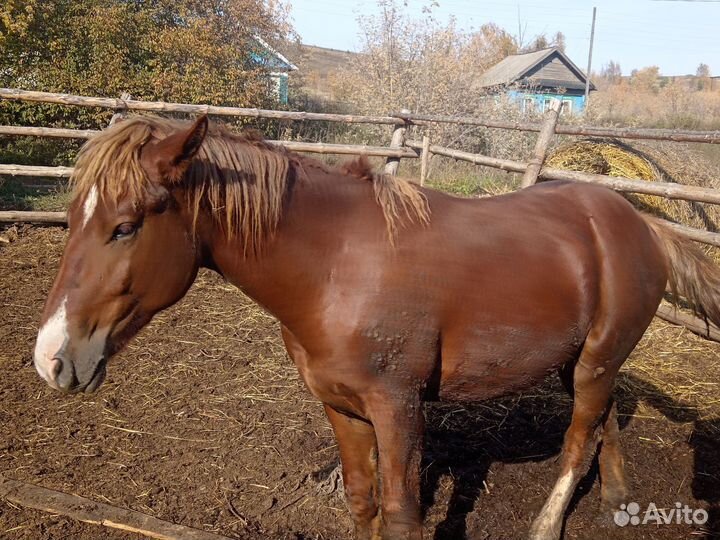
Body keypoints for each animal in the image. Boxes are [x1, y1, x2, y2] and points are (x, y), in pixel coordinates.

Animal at [32, 115, 720, 540]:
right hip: (580, 362)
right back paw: (616, 500)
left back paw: (549, 525)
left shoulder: (398, 408)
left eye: (125, 226)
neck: (335, 267)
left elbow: (399, 515)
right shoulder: (341, 406)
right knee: (605, 423)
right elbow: (362, 502)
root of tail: (640, 223)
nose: (52, 356)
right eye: (71, 217)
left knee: (577, 444)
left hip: (594, 360)